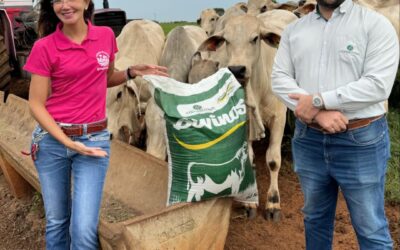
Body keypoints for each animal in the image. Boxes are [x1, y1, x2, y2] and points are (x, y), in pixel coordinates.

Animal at [198, 12, 296, 219]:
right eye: (226, 40)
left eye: (255, 38)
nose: (237, 70)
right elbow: (249, 160)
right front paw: (250, 201)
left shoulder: (279, 118)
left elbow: (273, 160)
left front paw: (273, 203)